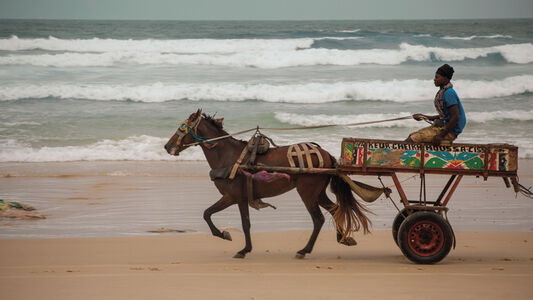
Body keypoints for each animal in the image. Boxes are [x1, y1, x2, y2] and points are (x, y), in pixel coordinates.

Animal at [163, 109, 370, 258]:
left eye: (182, 127)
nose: (167, 146)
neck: (228, 156)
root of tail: (326, 154)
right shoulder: (235, 198)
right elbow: (213, 215)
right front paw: (230, 239)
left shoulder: (234, 197)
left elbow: (235, 221)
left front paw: (237, 245)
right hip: (317, 193)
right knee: (335, 209)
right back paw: (342, 238)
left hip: (307, 192)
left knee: (318, 219)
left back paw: (305, 250)